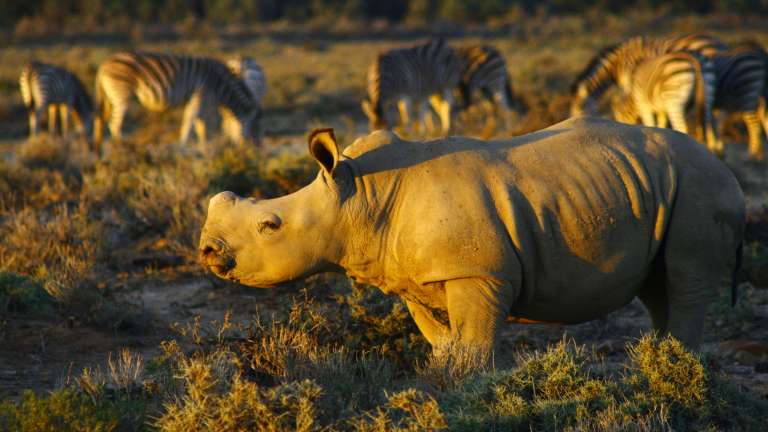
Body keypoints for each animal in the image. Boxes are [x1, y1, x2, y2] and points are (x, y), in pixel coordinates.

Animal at [199, 116, 744, 355]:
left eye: (270, 225)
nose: (206, 251)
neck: (359, 197)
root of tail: (728, 171)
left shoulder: (479, 272)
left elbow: (475, 349)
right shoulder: (414, 276)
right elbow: (443, 342)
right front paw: (444, 380)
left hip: (699, 186)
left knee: (686, 278)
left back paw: (674, 364)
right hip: (659, 186)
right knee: (658, 286)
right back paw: (658, 363)